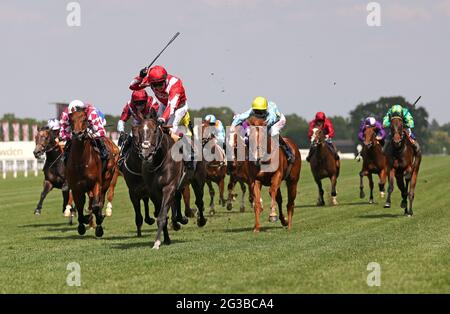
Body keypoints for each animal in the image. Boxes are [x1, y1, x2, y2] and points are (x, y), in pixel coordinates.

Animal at [67, 109, 118, 237]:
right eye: (70, 120)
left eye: (85, 119)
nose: (78, 134)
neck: (81, 161)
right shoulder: (76, 187)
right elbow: (79, 206)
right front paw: (82, 224)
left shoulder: (96, 183)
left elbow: (96, 206)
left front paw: (99, 224)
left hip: (107, 179)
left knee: (101, 200)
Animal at [135, 119, 206, 249]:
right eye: (140, 131)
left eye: (154, 131)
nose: (145, 153)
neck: (159, 161)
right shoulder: (153, 192)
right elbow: (162, 214)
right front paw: (166, 239)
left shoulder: (168, 187)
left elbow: (162, 215)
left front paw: (157, 242)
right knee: (177, 198)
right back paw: (179, 220)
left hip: (197, 180)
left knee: (199, 201)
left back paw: (201, 221)